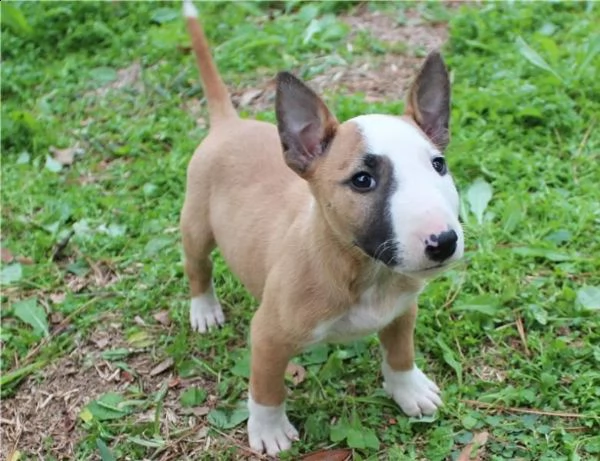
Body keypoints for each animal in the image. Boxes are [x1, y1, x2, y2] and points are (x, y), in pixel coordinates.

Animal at [178, 0, 464, 452]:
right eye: (362, 180)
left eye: (439, 165)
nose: (444, 242)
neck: (366, 271)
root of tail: (230, 123)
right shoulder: (268, 334)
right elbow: (267, 388)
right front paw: (270, 430)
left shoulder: (403, 310)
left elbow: (400, 354)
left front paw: (410, 390)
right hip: (196, 225)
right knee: (197, 266)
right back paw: (204, 309)